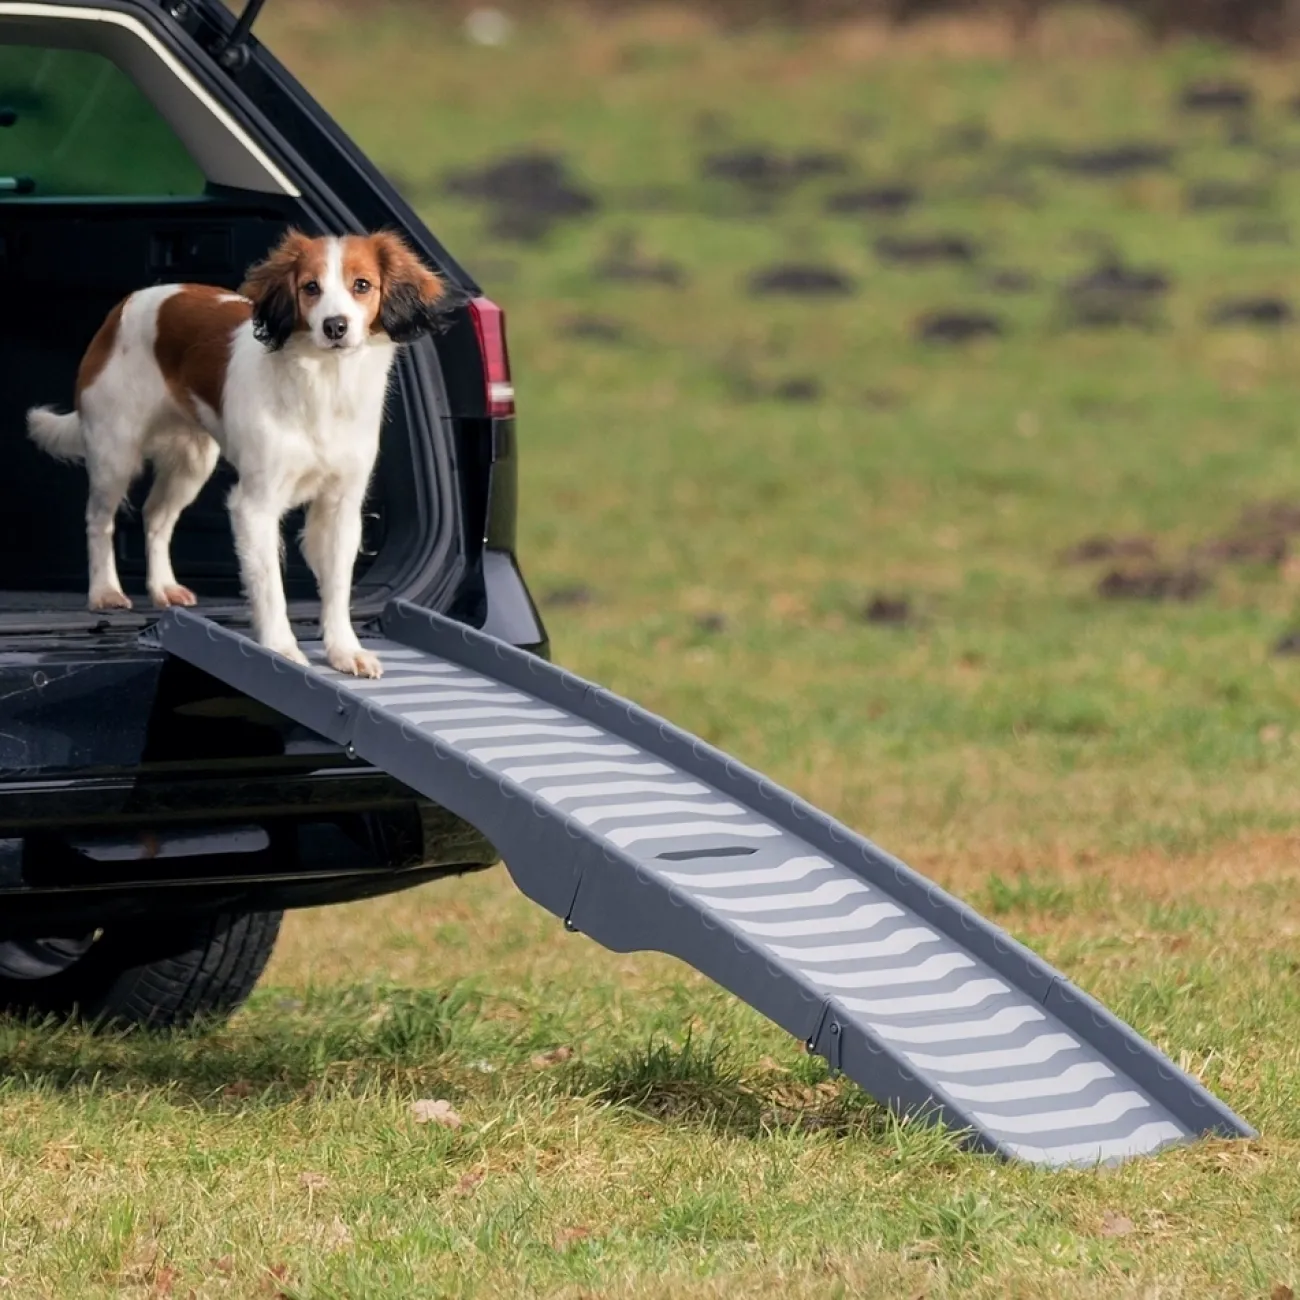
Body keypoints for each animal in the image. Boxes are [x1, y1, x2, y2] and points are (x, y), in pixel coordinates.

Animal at [26, 231, 457, 681]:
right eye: (310, 287)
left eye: (362, 285)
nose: (335, 326)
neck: (323, 384)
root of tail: (123, 307)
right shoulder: (256, 505)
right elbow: (270, 587)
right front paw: (281, 649)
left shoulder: (341, 506)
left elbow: (337, 587)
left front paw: (344, 650)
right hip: (116, 452)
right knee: (100, 520)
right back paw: (105, 590)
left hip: (192, 461)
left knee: (155, 516)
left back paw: (162, 587)